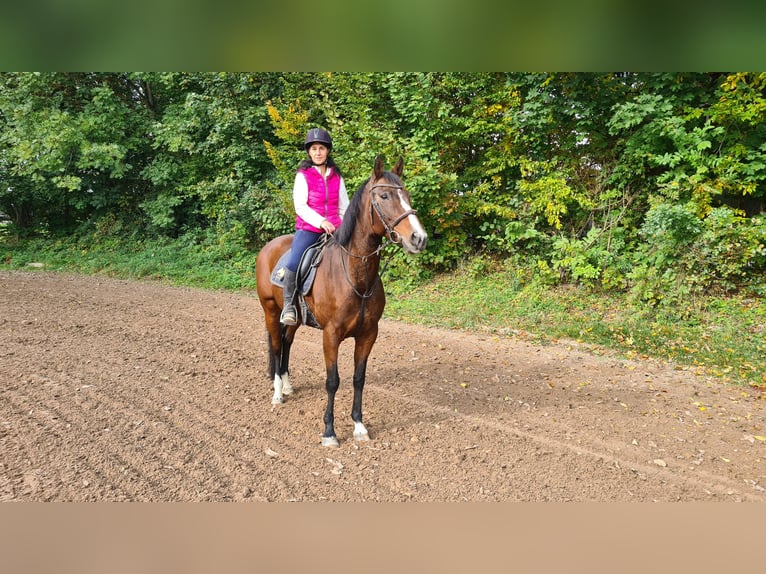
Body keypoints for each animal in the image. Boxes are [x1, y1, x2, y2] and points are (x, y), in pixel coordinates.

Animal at [256, 155, 426, 448]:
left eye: (407, 195)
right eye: (384, 195)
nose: (418, 238)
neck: (355, 276)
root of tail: (268, 248)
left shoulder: (368, 334)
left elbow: (358, 378)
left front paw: (359, 426)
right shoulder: (331, 335)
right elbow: (332, 381)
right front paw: (329, 432)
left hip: (294, 318)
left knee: (287, 343)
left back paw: (287, 385)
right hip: (270, 310)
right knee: (277, 346)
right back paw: (278, 393)